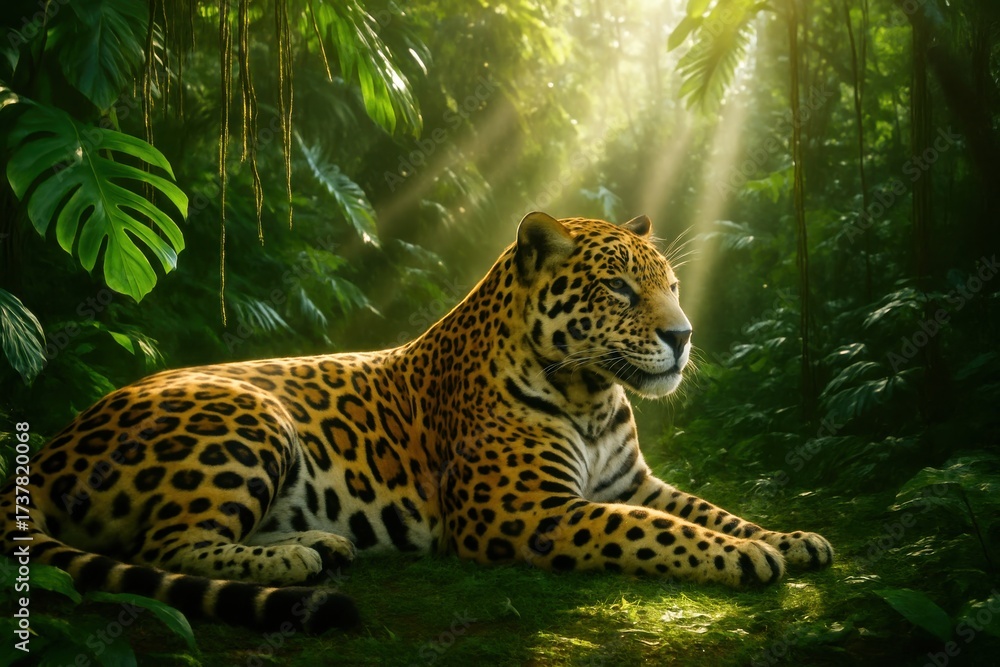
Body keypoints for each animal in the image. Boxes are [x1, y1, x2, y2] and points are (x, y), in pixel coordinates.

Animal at [0, 212, 833, 634]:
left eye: (673, 285)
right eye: (620, 289)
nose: (683, 335)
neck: (593, 393)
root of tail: (51, 448)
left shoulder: (635, 481)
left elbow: (704, 509)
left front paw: (791, 537)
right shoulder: (522, 511)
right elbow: (651, 530)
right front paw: (747, 558)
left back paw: (323, 544)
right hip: (248, 413)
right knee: (163, 542)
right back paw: (297, 561)